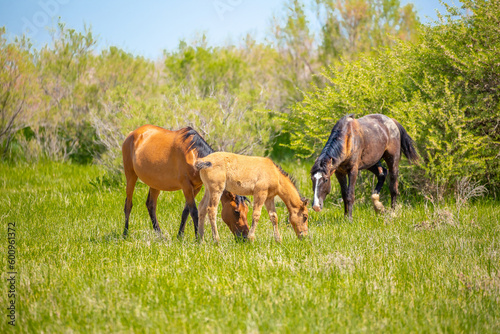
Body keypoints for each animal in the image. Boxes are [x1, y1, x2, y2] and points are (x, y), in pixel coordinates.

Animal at [121, 124, 250, 239]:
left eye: (247, 211)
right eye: (236, 212)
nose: (245, 237)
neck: (194, 156)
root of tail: (132, 133)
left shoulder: (196, 187)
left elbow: (186, 211)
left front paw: (180, 236)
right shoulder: (186, 186)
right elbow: (194, 212)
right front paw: (198, 239)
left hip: (155, 183)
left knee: (151, 205)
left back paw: (160, 235)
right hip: (130, 175)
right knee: (128, 204)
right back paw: (125, 234)